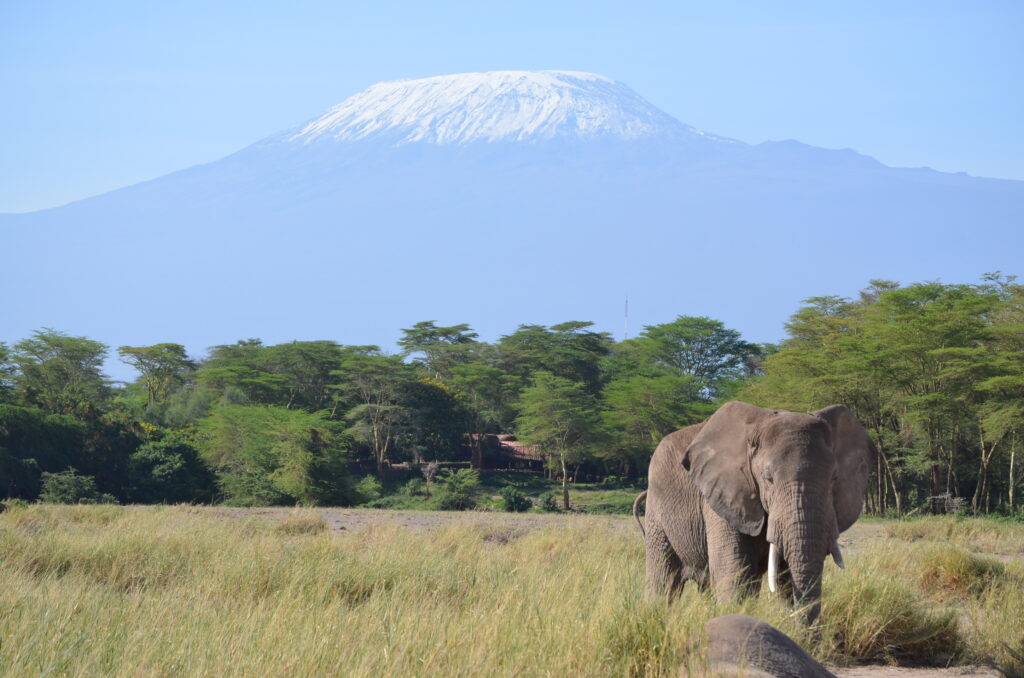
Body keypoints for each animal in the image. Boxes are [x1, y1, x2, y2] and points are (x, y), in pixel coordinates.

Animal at [633, 401, 875, 623]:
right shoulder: (722, 496)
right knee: (663, 581)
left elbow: (785, 577)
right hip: (657, 509)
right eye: (768, 479)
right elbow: (735, 577)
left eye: (834, 478)